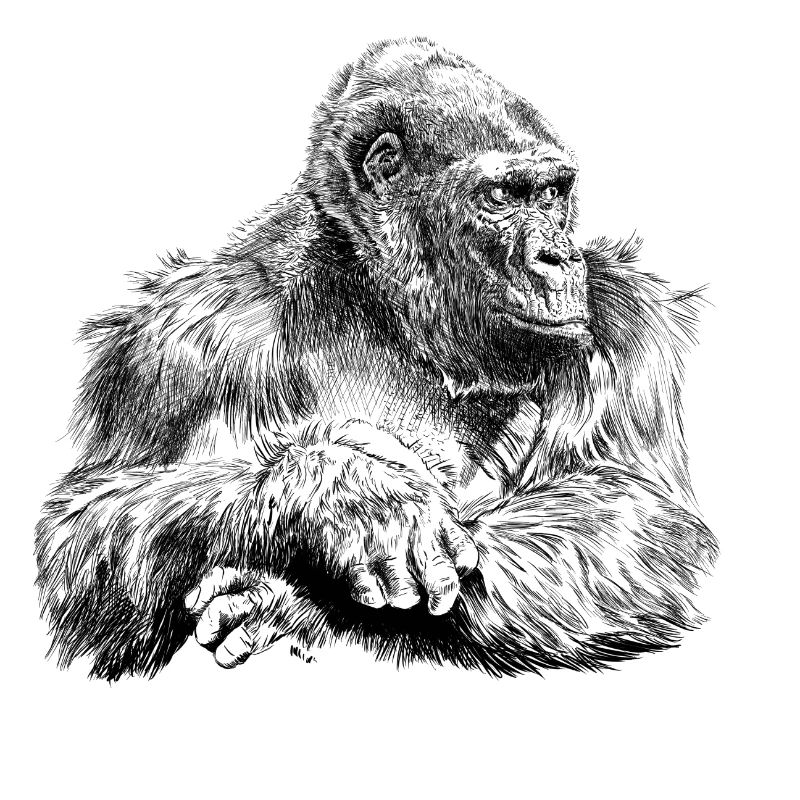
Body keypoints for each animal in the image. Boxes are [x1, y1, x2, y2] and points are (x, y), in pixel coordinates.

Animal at [36, 37, 717, 680]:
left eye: (552, 194)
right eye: (503, 196)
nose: (558, 257)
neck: (384, 304)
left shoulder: (629, 321)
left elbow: (643, 520)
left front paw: (296, 602)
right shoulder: (184, 338)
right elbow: (87, 528)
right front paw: (345, 496)